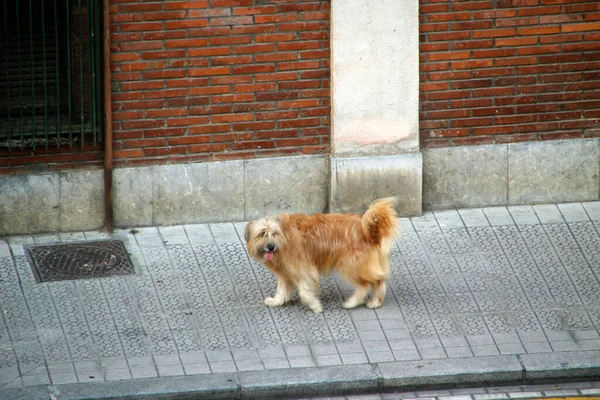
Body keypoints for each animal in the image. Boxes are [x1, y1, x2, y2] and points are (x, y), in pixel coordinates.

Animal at [244, 198, 398, 314]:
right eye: (262, 234)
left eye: (274, 233)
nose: (271, 247)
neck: (284, 238)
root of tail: (369, 232)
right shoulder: (285, 273)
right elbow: (282, 289)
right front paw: (276, 301)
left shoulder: (305, 270)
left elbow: (304, 292)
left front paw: (315, 305)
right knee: (378, 282)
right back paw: (375, 301)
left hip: (349, 266)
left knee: (365, 285)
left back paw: (352, 302)